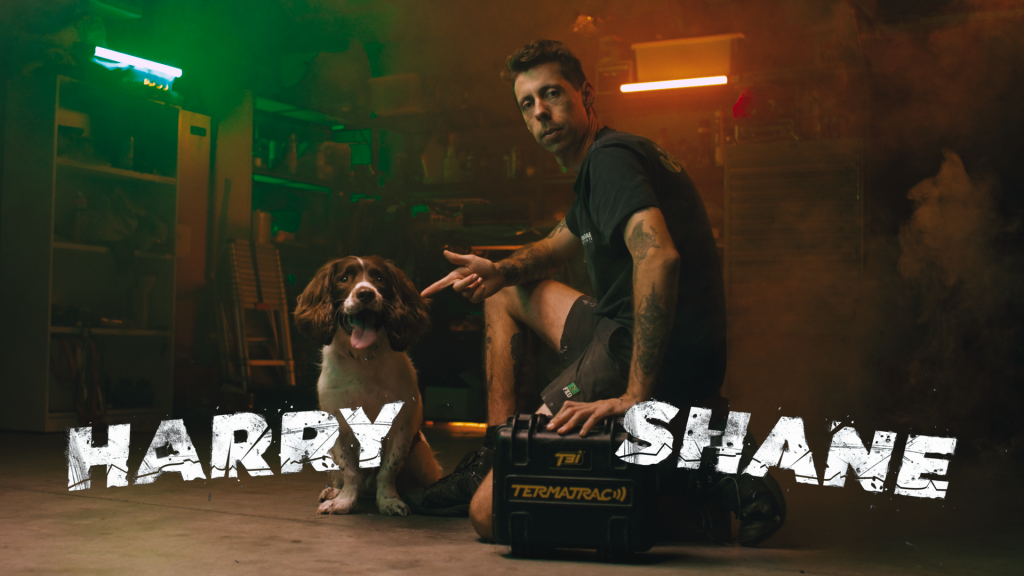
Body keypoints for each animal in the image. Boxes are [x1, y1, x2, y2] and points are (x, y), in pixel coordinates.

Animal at [294, 253, 442, 512]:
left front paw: (389, 500)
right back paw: (333, 490)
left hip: (422, 457)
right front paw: (344, 500)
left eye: (379, 278)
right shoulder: (337, 424)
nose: (365, 294)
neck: (362, 358)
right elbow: (349, 471)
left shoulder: (402, 423)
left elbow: (388, 468)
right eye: (344, 279)